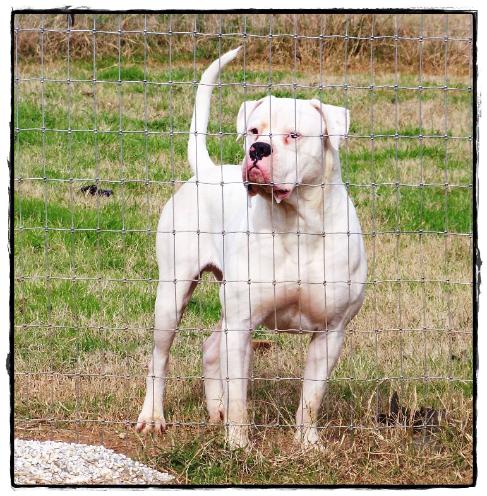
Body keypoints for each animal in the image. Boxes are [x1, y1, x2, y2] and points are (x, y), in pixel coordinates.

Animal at [136, 47, 366, 450]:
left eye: (294, 134)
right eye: (254, 130)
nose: (258, 149)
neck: (297, 225)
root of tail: (208, 172)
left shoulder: (331, 332)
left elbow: (311, 398)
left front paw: (308, 445)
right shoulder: (242, 325)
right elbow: (240, 396)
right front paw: (239, 445)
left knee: (211, 348)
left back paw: (216, 412)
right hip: (173, 295)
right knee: (159, 359)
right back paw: (153, 417)